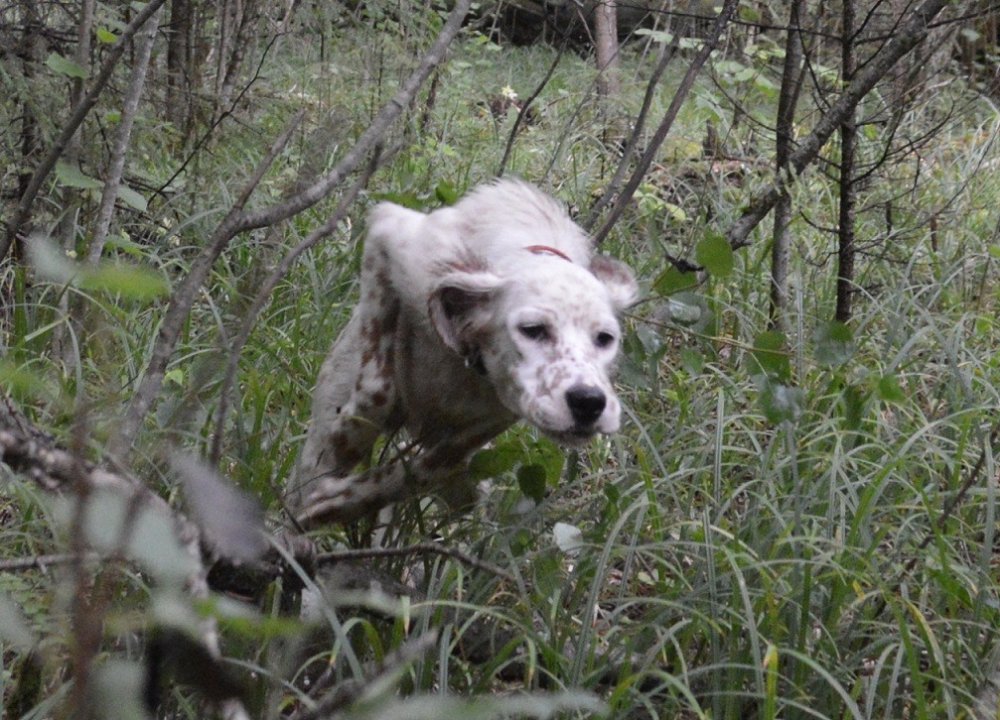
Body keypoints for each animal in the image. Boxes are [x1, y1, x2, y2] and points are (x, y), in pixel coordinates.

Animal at [290, 180, 638, 526]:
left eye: (605, 339)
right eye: (532, 329)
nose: (589, 402)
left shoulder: (494, 417)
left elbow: (421, 471)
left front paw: (342, 502)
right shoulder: (392, 238)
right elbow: (377, 391)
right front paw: (348, 445)